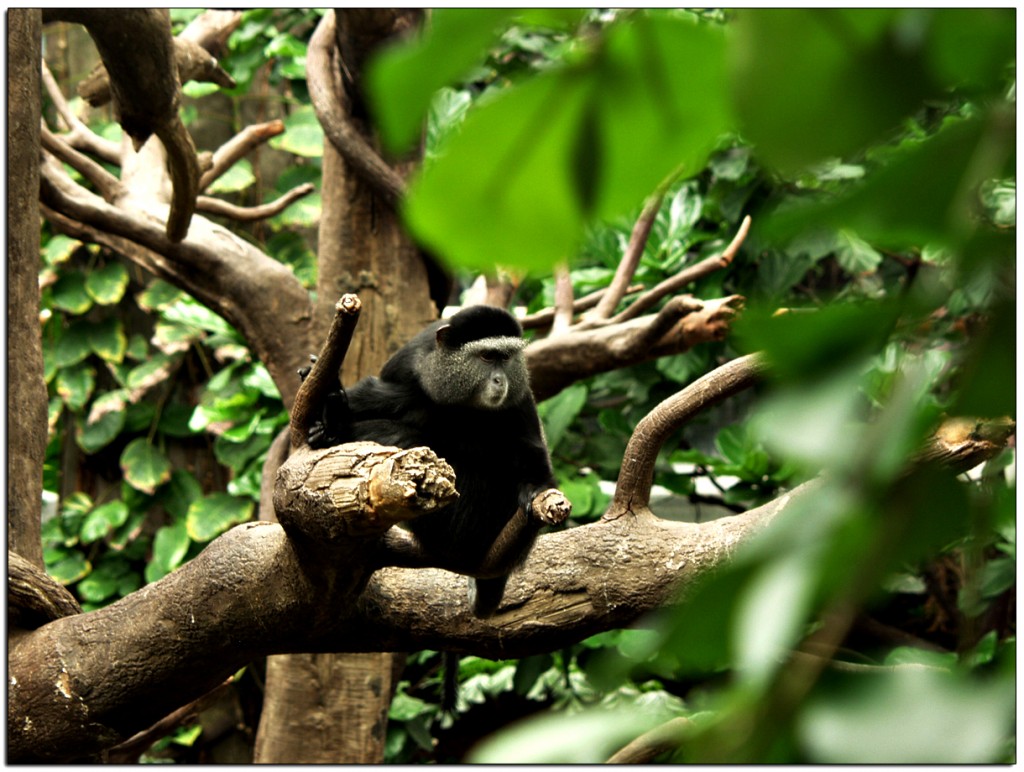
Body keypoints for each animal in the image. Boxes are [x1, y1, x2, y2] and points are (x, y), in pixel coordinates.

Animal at [303, 305, 568, 619]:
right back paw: (335, 419)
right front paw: (332, 404)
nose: (500, 380)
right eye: (487, 357)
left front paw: (536, 487)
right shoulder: (406, 364)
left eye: (505, 358)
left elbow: (532, 453)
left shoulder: (519, 396)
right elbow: (382, 393)